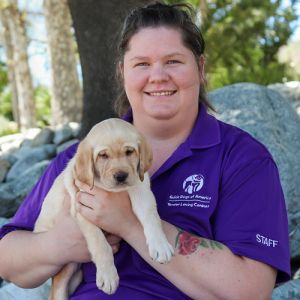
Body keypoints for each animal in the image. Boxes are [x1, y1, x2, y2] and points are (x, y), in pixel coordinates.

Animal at [33, 119, 173, 300]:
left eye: (129, 152)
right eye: (103, 155)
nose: (121, 176)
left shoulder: (142, 191)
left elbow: (152, 217)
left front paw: (160, 245)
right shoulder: (82, 209)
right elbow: (100, 243)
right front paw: (108, 275)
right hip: (65, 266)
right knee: (57, 292)